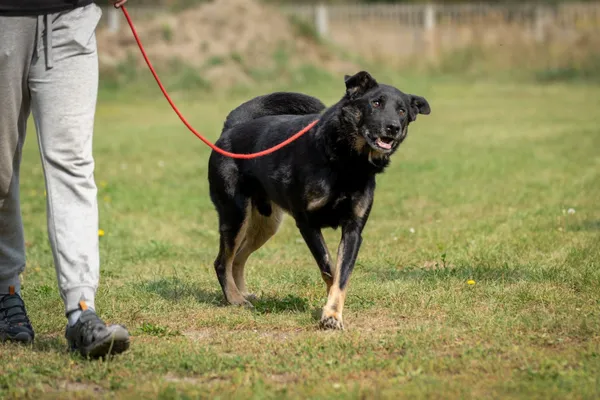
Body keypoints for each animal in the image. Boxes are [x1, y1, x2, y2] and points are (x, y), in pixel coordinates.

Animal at [209, 71, 428, 328]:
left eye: (402, 110)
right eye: (376, 103)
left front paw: (333, 313)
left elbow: (341, 275)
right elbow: (329, 268)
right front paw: (329, 312)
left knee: (238, 258)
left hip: (266, 223)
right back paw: (234, 298)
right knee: (222, 261)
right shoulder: (307, 224)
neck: (346, 162)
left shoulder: (353, 230)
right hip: (235, 215)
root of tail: (231, 128)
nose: (393, 127)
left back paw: (242, 293)